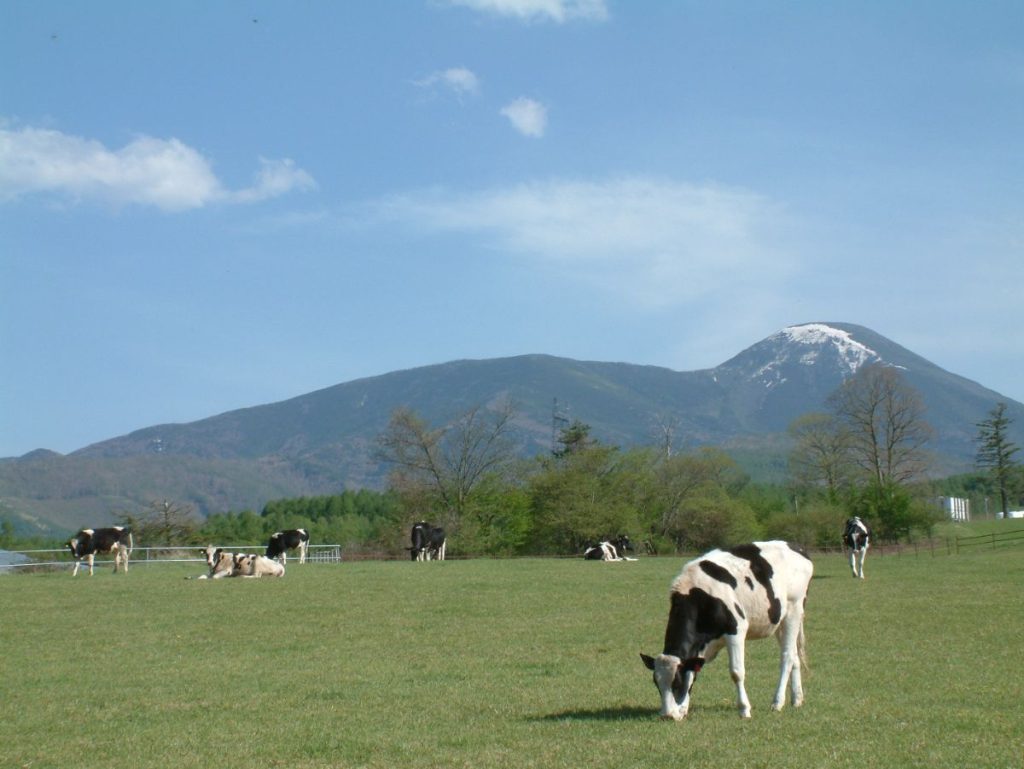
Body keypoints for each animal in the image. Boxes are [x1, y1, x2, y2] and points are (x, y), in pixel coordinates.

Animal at [638, 540, 815, 720]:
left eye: (677, 683)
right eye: (657, 684)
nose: (667, 715)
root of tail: (796, 547)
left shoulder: (736, 631)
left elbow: (737, 672)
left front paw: (744, 709)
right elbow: (693, 672)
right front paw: (683, 709)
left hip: (794, 610)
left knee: (787, 657)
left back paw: (777, 702)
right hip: (780, 621)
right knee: (794, 655)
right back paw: (797, 699)